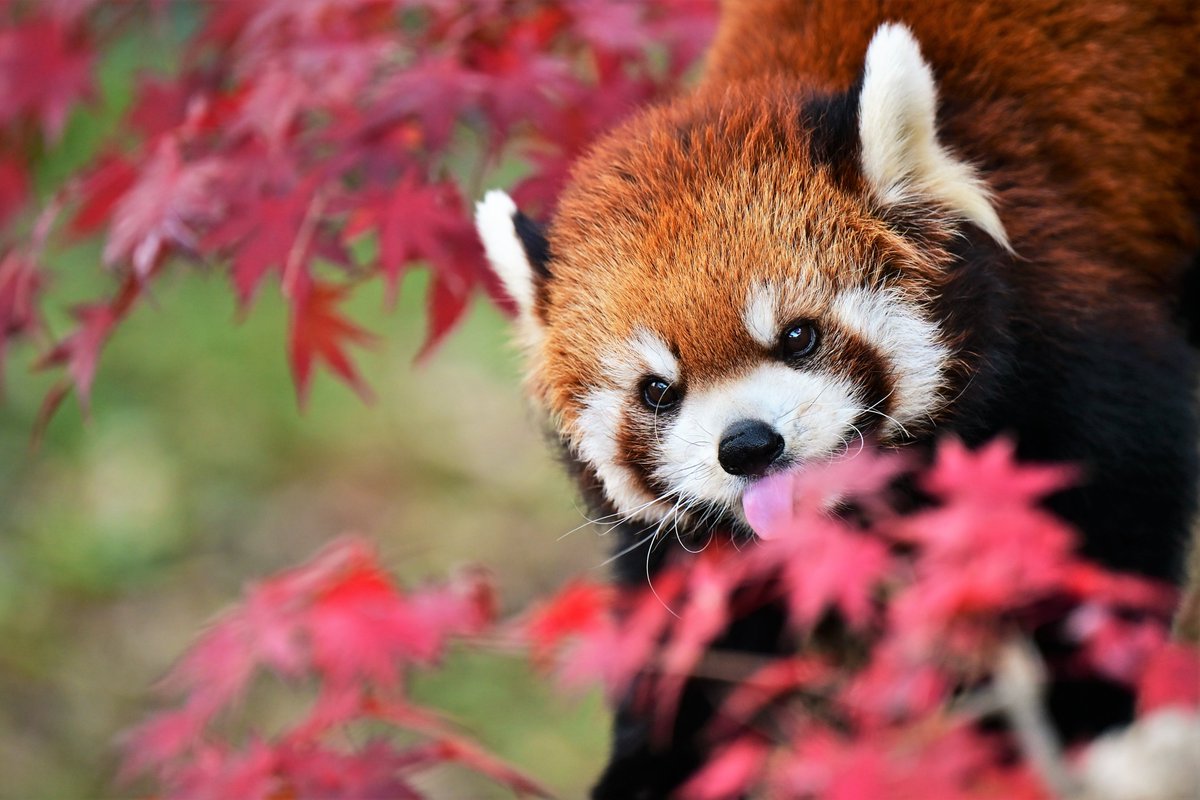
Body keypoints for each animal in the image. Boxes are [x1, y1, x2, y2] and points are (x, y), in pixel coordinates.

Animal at [477, 3, 1200, 796]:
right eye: (659, 390)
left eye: (799, 336)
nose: (747, 445)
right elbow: (697, 641)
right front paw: (650, 764)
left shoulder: (1083, 349)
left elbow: (1107, 545)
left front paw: (1059, 725)